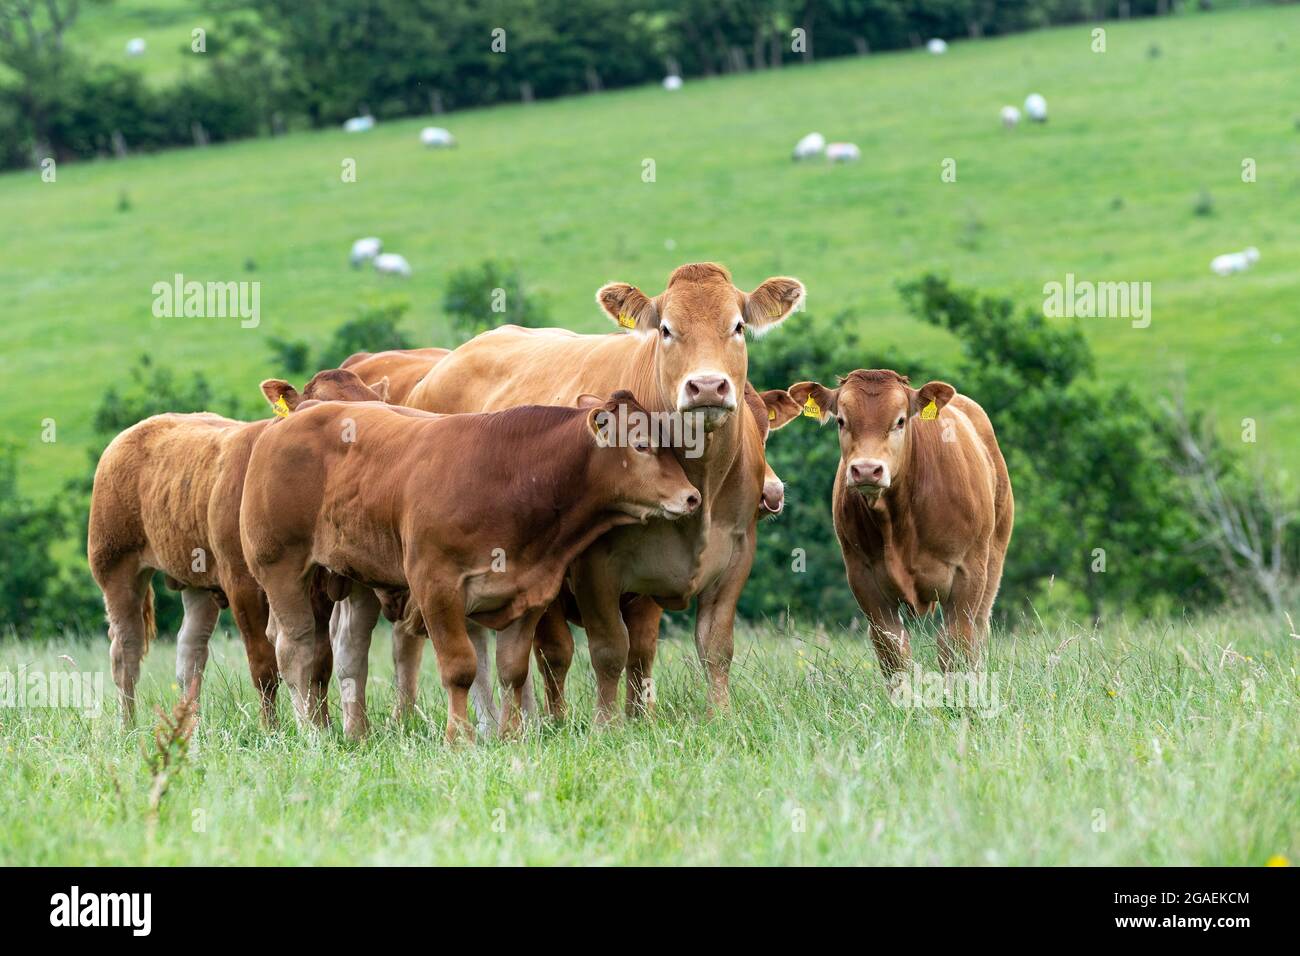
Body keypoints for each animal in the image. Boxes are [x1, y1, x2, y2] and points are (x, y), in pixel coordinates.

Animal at [87, 368, 391, 726]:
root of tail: (137, 429)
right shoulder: (242, 580)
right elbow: (264, 666)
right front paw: (271, 729)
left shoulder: (317, 586)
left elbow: (319, 662)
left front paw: (323, 725)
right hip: (114, 563)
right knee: (126, 650)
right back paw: (127, 726)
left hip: (196, 575)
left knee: (190, 650)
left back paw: (191, 724)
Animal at [239, 392, 700, 741]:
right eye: (641, 445)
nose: (692, 496)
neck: (509, 479)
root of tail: (293, 419)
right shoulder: (436, 586)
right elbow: (460, 668)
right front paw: (458, 738)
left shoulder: (531, 592)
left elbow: (512, 670)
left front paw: (511, 736)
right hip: (280, 567)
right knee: (294, 645)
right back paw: (311, 733)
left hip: (354, 576)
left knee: (347, 646)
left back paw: (355, 733)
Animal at [403, 262, 805, 722]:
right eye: (666, 329)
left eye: (737, 326)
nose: (706, 386)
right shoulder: (593, 567)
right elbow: (609, 649)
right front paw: (606, 724)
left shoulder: (733, 557)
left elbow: (707, 647)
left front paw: (710, 716)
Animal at [786, 370, 1013, 675]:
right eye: (841, 420)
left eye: (900, 420)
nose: (866, 470)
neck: (900, 522)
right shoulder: (864, 578)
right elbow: (892, 649)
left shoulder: (968, 574)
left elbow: (956, 644)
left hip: (994, 558)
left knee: (978, 630)